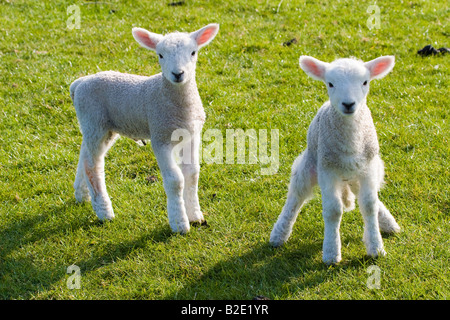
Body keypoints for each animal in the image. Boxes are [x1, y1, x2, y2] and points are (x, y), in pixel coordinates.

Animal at [68, 22, 220, 232]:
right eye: (160, 55)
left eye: (193, 52)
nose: (178, 74)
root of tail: (79, 83)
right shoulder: (160, 137)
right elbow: (175, 180)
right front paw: (179, 223)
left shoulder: (191, 136)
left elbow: (192, 174)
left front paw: (195, 215)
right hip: (94, 120)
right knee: (93, 165)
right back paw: (104, 211)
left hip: (99, 126)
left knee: (84, 155)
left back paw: (82, 194)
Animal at [270, 55, 400, 264]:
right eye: (330, 83)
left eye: (365, 82)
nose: (348, 104)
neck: (350, 142)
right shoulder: (327, 170)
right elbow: (333, 210)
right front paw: (331, 253)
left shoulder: (368, 168)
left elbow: (369, 205)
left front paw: (376, 247)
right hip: (310, 165)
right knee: (296, 196)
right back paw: (278, 234)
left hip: (358, 173)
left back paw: (388, 223)